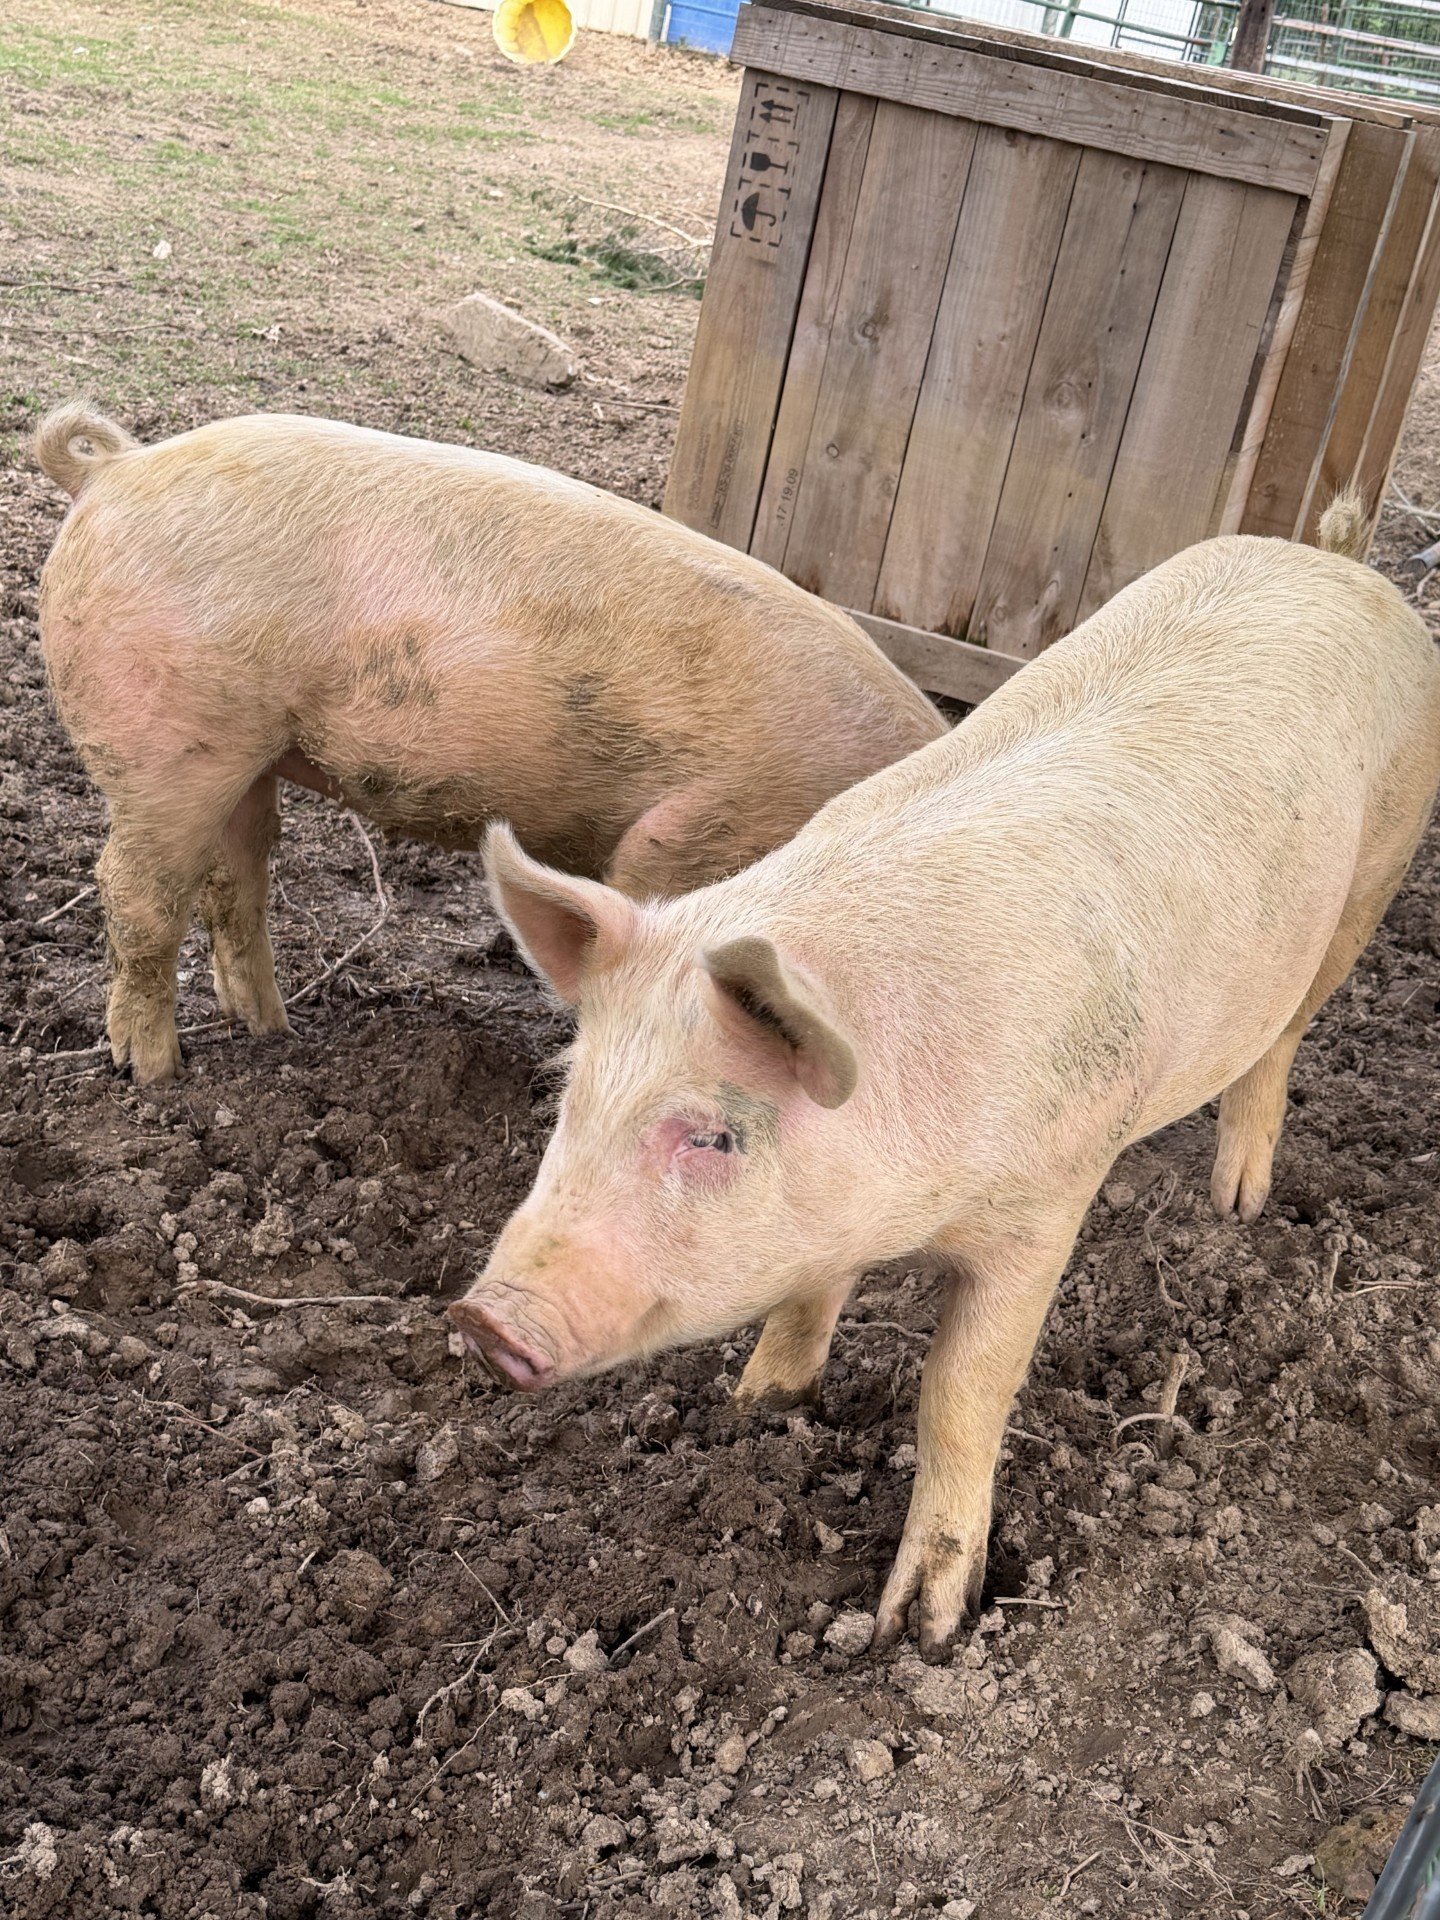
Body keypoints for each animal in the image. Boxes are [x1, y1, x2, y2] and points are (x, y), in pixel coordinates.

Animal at [34, 404, 942, 1085]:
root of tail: (115, 470)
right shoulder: (695, 833)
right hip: (166, 735)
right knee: (136, 888)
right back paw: (153, 1070)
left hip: (244, 749)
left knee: (234, 875)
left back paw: (271, 1029)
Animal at [450, 499, 1440, 1656]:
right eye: (574, 1096)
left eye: (715, 1134)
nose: (485, 1319)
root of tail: (1337, 564)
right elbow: (809, 1293)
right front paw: (757, 1403)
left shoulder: (1048, 1199)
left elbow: (961, 1392)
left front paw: (919, 1628)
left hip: (1375, 870)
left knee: (1282, 1036)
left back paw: (1236, 1205)